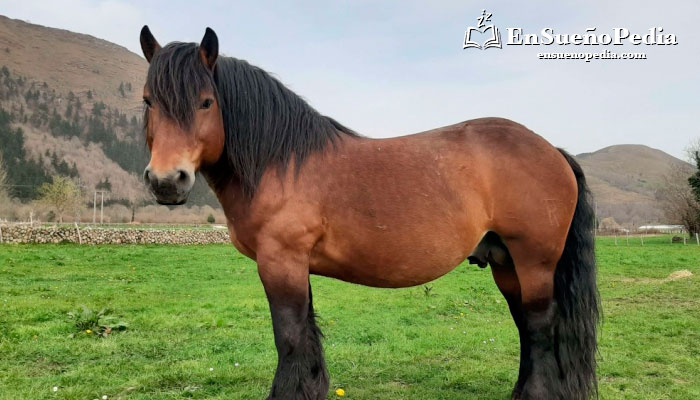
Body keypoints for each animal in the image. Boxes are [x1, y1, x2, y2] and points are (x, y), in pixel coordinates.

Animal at [139, 25, 600, 400]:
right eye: (148, 101)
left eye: (206, 103)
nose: (166, 181)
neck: (282, 164)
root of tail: (552, 150)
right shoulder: (296, 266)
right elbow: (306, 333)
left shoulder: (280, 262)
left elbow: (289, 337)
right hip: (506, 263)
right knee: (525, 326)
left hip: (534, 261)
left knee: (539, 326)